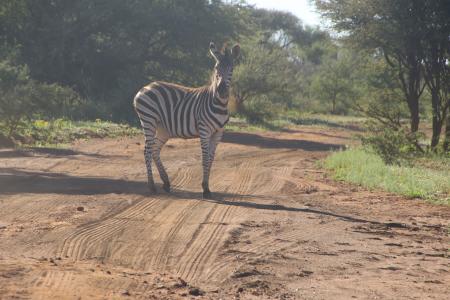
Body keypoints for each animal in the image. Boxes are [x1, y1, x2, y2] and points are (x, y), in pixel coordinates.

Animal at [133, 41, 239, 197]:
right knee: (147, 150)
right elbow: (205, 159)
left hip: (163, 128)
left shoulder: (218, 133)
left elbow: (211, 159)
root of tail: (146, 87)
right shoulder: (204, 130)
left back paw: (166, 182)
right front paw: (205, 189)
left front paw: (207, 187)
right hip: (148, 120)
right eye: (216, 68)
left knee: (155, 150)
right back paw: (152, 186)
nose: (221, 91)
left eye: (231, 68)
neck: (218, 103)